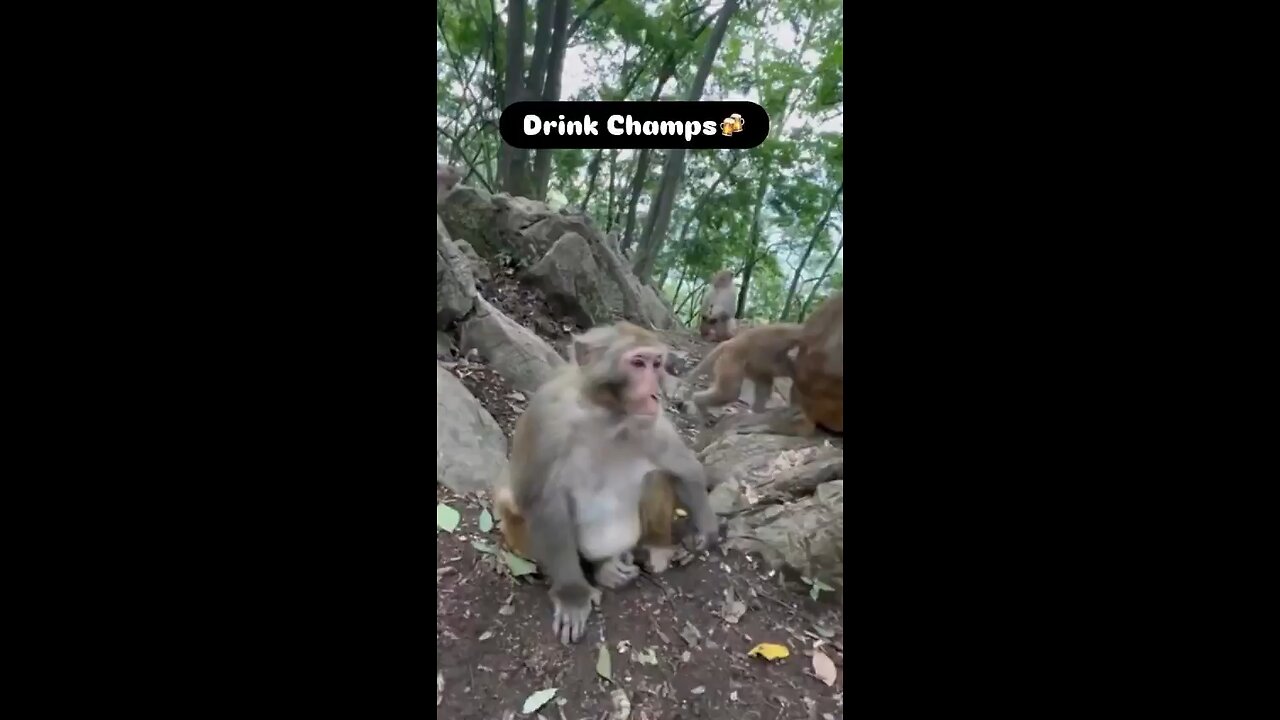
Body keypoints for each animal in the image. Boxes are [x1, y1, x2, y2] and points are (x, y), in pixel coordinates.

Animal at [492, 321, 720, 644]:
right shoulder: (546, 417)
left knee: (656, 475)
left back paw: (650, 549)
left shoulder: (650, 419)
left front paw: (706, 531)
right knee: (512, 502)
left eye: (656, 364)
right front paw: (572, 595)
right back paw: (601, 568)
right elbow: (542, 500)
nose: (655, 393)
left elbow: (684, 467)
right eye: (637, 363)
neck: (606, 413)